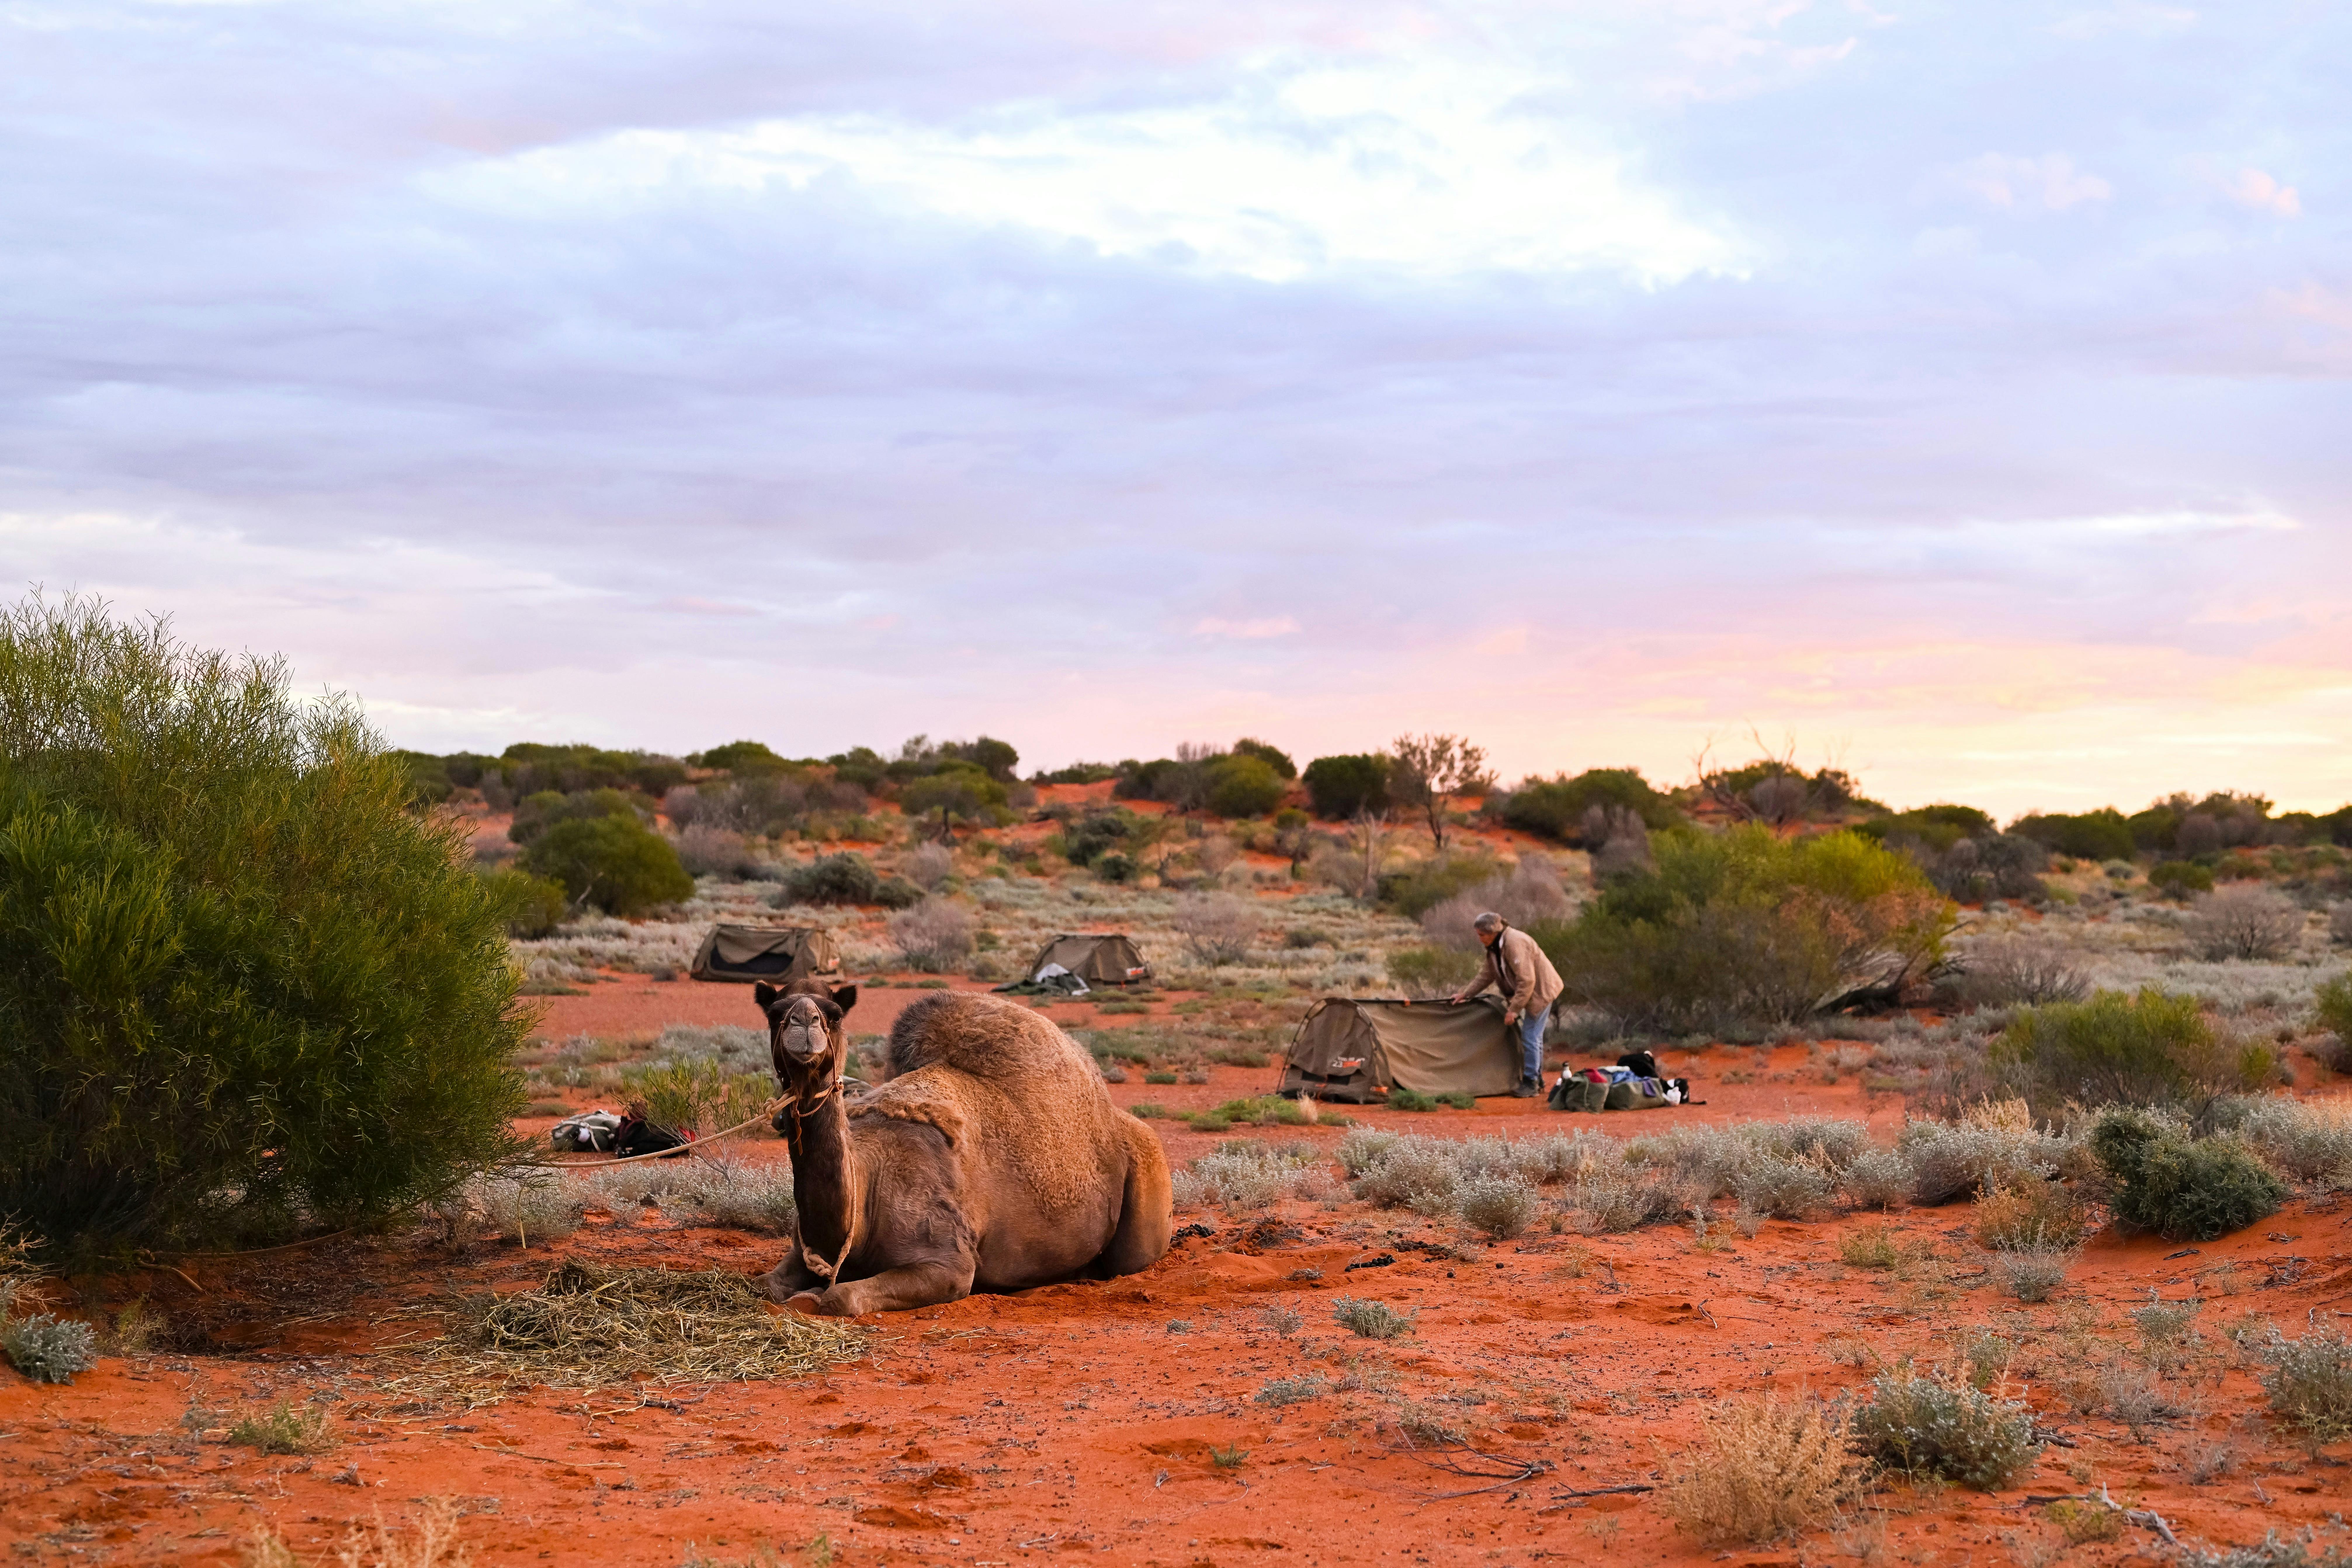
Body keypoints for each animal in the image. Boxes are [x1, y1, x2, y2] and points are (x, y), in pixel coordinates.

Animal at [753, 979, 1172, 1316]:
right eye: (775, 1014)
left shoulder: (948, 1265)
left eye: (835, 1015)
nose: (804, 1022)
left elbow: (839, 1297)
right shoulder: (803, 1251)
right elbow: (766, 1286)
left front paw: (813, 1296)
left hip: (1147, 1179)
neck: (866, 1184)